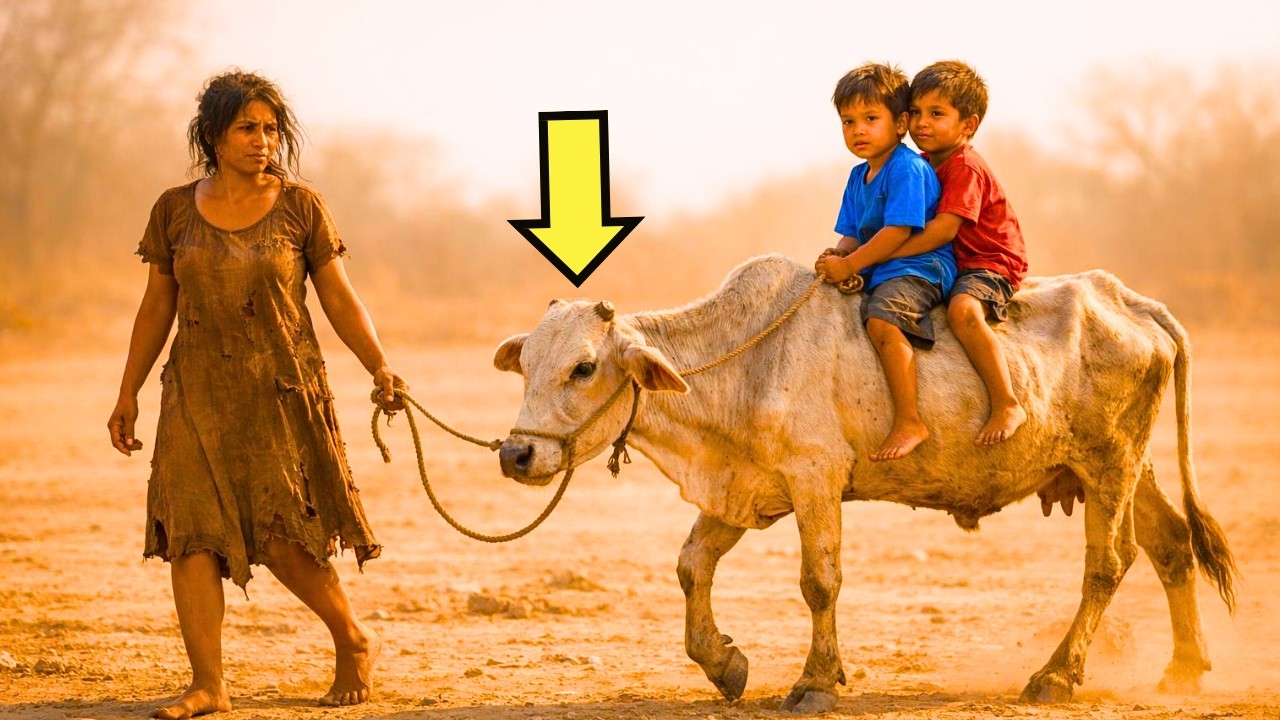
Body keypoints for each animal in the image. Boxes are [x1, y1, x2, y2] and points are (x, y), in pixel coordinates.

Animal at [492, 255, 1237, 713]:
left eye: (584, 367)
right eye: (526, 363)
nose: (517, 454)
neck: (742, 359)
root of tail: (1131, 302)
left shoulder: (815, 478)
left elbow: (819, 582)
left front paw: (816, 684)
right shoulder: (743, 488)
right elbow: (691, 565)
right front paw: (724, 664)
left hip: (1110, 463)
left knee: (1108, 564)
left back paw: (1056, 675)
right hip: (1127, 469)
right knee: (1171, 546)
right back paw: (1184, 667)